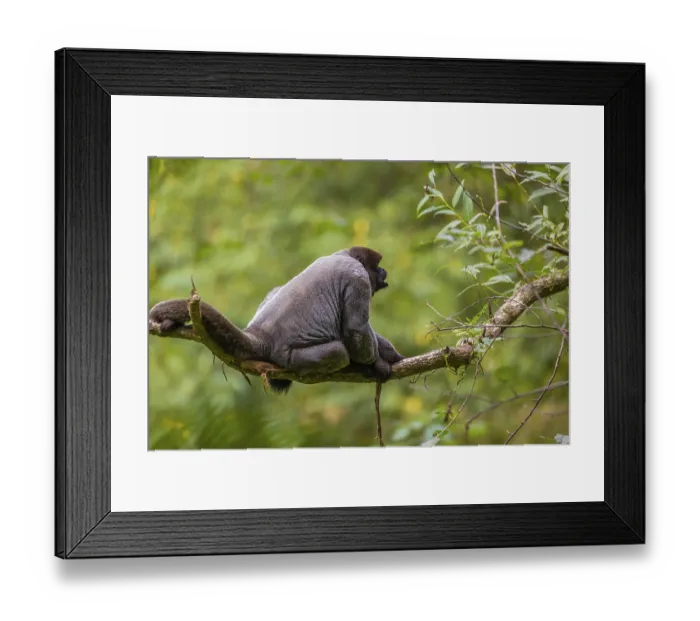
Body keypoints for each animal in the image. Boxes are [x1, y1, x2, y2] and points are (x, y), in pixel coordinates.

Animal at [148, 247, 404, 393]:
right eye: (378, 267)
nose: (384, 272)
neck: (343, 255)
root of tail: (260, 334)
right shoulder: (357, 276)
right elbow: (355, 330)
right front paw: (379, 361)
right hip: (291, 357)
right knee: (340, 351)